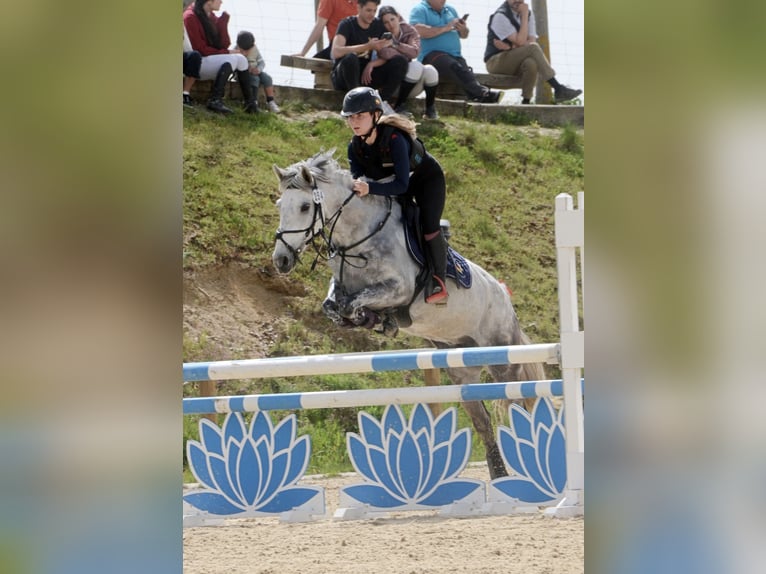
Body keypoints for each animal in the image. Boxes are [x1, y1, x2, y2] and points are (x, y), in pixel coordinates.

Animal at [272, 150, 544, 482]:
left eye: (304, 206)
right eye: (279, 205)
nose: (281, 260)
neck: (358, 238)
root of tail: (505, 297)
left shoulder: (399, 289)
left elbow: (354, 304)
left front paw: (376, 319)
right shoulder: (341, 286)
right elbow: (333, 306)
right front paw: (366, 319)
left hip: (500, 360)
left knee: (517, 404)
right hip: (461, 367)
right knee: (481, 419)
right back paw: (500, 476)